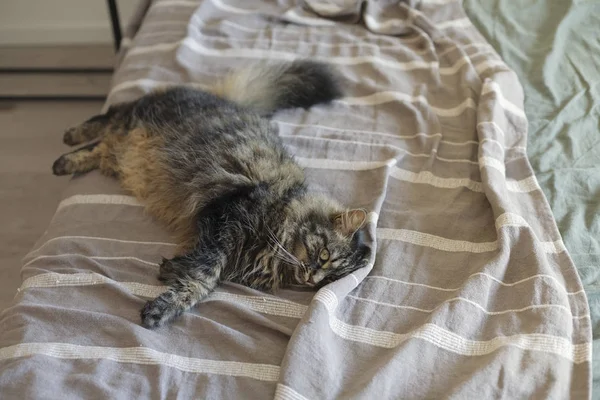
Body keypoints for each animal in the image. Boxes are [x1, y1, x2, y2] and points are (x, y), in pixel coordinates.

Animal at [52, 60, 370, 328]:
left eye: (329, 280)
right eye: (325, 255)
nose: (313, 277)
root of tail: (229, 100)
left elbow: (199, 266)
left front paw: (171, 269)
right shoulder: (223, 219)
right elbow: (206, 275)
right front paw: (164, 308)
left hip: (125, 152)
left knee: (102, 147)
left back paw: (67, 161)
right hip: (138, 118)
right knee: (110, 115)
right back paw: (67, 143)